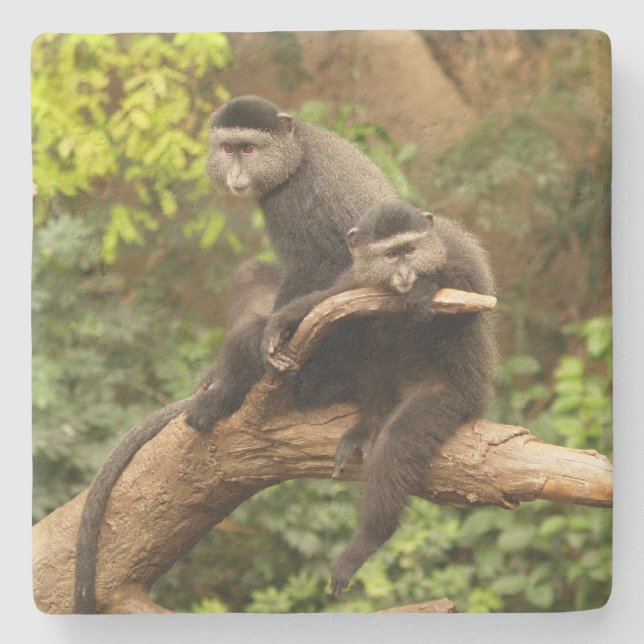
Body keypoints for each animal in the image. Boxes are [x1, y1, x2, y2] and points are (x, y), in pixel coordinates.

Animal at [74, 95, 395, 612]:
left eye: (249, 148)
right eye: (228, 149)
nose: (238, 171)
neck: (295, 152)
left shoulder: (295, 200)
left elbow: (323, 266)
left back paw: (227, 393)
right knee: (249, 274)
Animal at [261, 199, 498, 595]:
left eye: (411, 251)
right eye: (390, 255)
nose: (404, 273)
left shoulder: (455, 254)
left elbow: (471, 299)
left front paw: (426, 287)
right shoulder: (359, 276)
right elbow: (333, 298)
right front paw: (282, 322)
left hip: (453, 396)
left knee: (397, 443)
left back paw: (370, 538)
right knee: (363, 334)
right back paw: (369, 423)